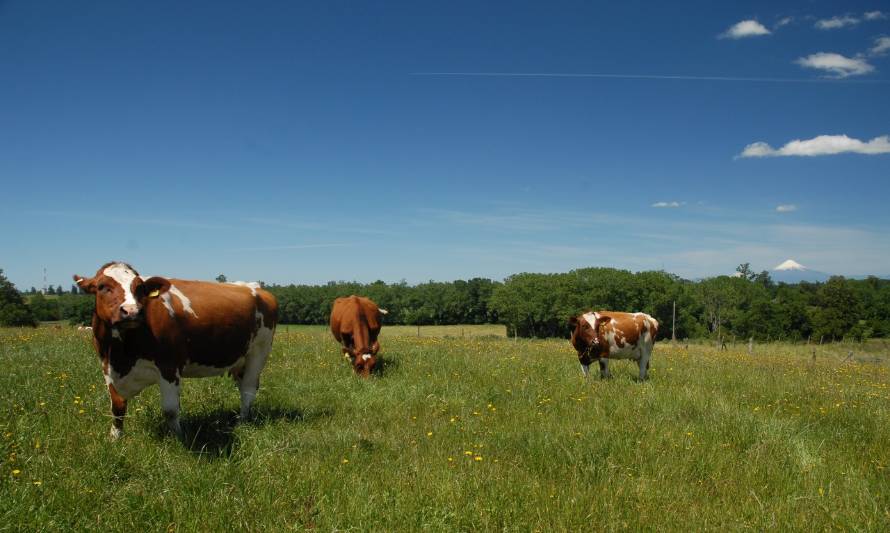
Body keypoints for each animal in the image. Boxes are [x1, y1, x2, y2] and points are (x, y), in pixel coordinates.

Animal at [73, 260, 278, 438]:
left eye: (140, 288)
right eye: (102, 287)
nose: (132, 311)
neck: (122, 352)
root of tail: (254, 287)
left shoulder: (169, 367)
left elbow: (171, 410)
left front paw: (178, 438)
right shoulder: (108, 368)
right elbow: (117, 408)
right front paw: (115, 438)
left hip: (259, 352)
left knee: (248, 389)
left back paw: (242, 422)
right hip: (239, 359)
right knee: (242, 385)